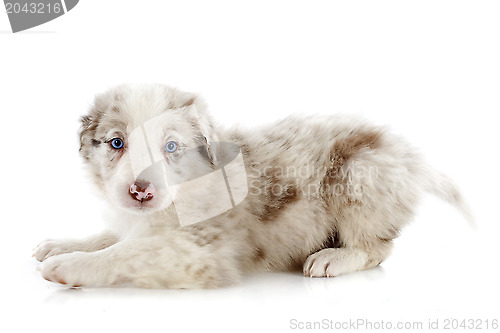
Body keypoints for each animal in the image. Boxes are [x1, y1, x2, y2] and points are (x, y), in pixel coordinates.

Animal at [33, 83, 470, 288]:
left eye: (171, 147)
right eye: (116, 143)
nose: (141, 190)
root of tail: (410, 156)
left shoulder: (202, 248)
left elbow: (129, 252)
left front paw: (69, 265)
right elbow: (112, 236)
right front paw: (62, 245)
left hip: (357, 175)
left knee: (378, 248)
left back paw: (333, 258)